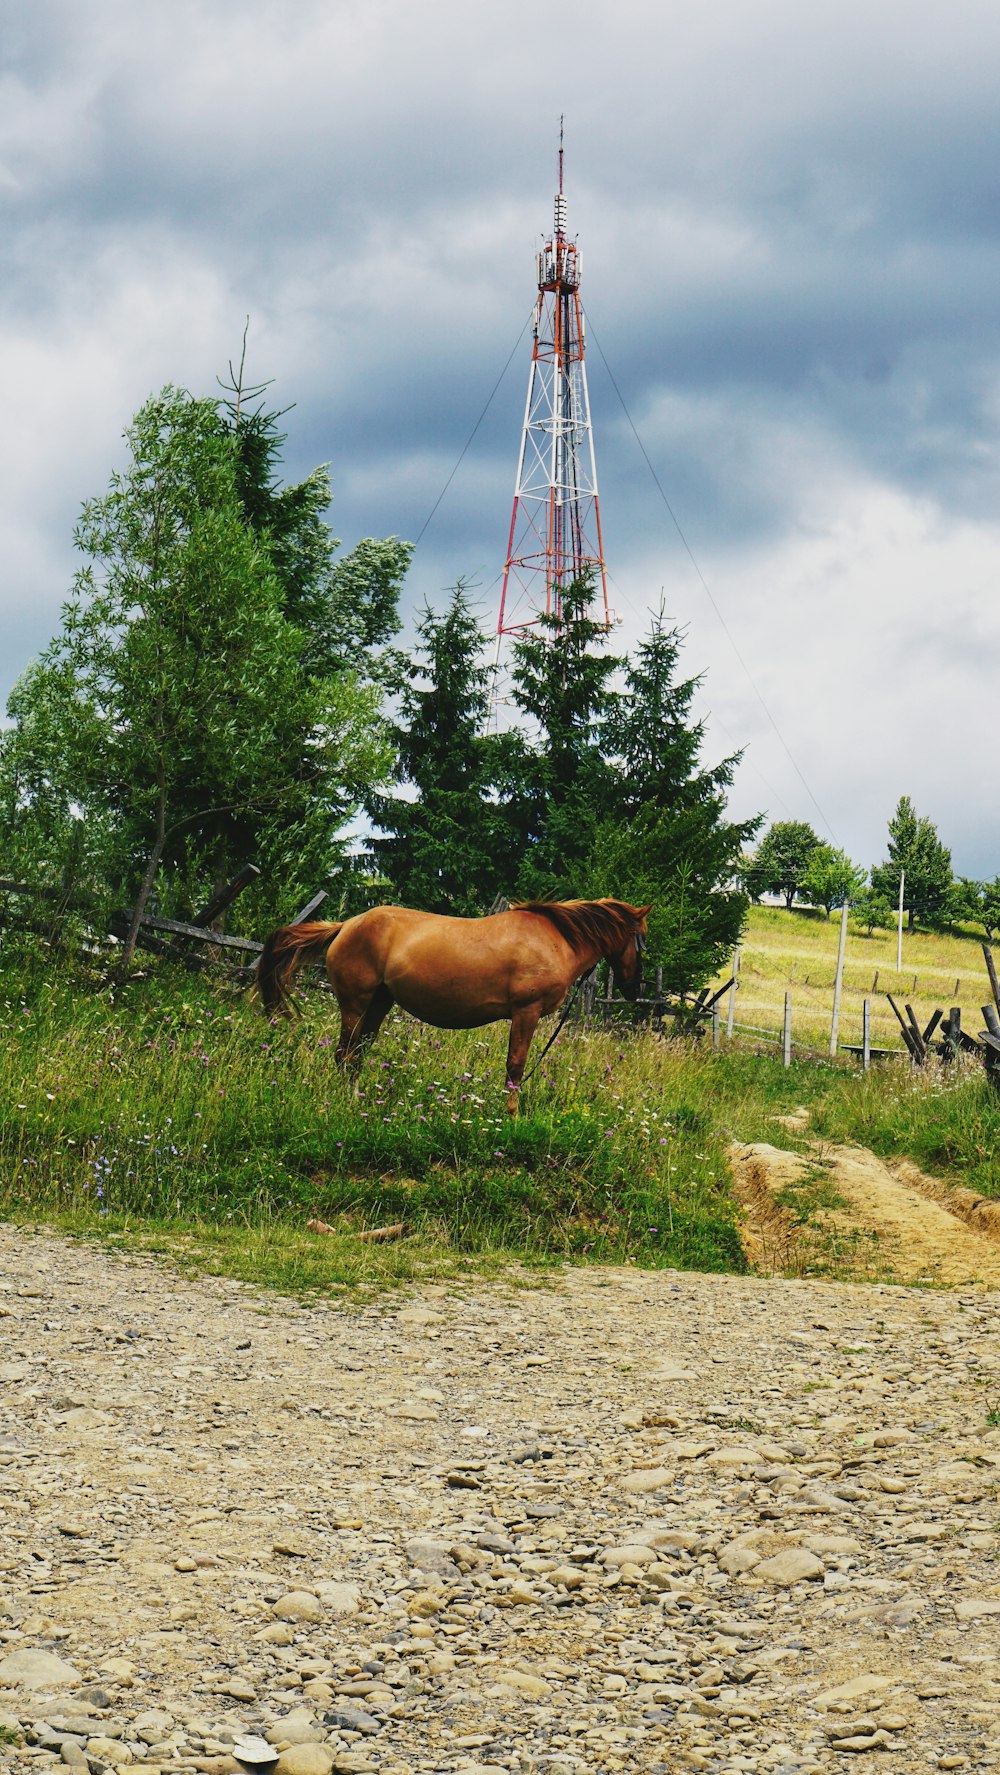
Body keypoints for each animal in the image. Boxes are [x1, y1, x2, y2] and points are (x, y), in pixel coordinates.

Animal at [253, 901, 653, 1107]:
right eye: (641, 939)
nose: (634, 987)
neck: (556, 939)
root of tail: (346, 925)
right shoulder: (526, 1012)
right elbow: (516, 1068)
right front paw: (510, 1116)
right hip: (356, 1003)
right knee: (345, 1053)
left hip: (379, 1003)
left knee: (357, 1054)